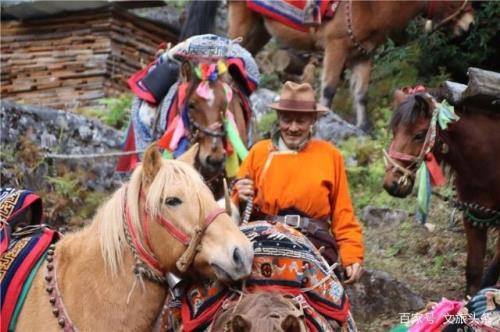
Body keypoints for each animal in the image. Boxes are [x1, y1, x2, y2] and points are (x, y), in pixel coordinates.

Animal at [183, 0, 472, 130]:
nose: (469, 26)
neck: (371, 6)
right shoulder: (336, 46)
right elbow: (330, 89)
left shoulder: (363, 55)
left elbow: (361, 94)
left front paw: (363, 128)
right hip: (243, 20)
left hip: (259, 29)